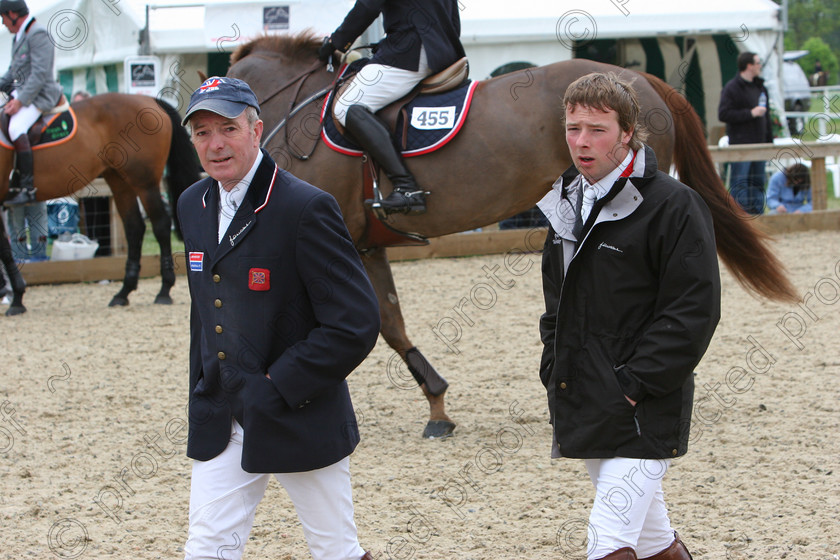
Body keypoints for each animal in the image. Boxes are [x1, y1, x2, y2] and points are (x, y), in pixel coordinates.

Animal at [0, 95, 200, 316]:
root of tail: (150, 100)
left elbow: (4, 249)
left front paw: (17, 298)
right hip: (119, 181)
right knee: (134, 228)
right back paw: (123, 292)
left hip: (144, 183)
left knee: (160, 225)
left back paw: (164, 290)